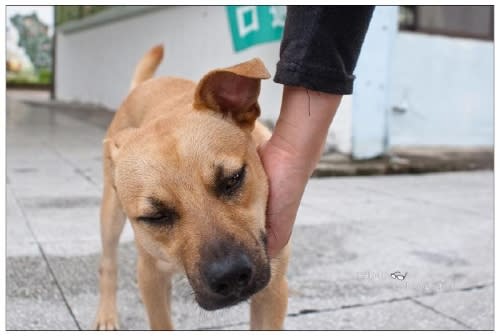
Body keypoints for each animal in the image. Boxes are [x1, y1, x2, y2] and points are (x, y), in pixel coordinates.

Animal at [93, 45, 290, 330]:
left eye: (233, 178)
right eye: (155, 216)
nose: (230, 276)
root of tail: (144, 85)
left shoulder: (273, 290)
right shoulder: (150, 277)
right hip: (111, 216)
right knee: (108, 264)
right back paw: (107, 314)